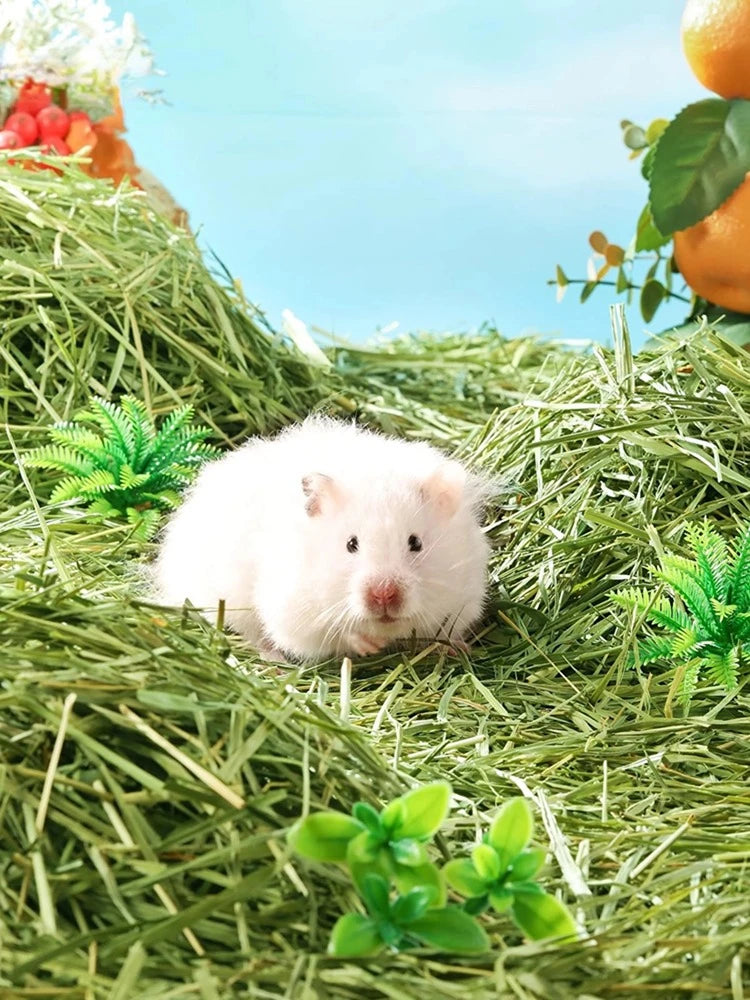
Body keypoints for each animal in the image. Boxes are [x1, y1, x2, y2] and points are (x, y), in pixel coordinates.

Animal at [153, 417, 491, 662]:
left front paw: (455, 647)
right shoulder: (294, 609)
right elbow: (333, 630)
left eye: (416, 543)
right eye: (351, 544)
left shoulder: (464, 597)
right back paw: (276, 661)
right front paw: (369, 646)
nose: (383, 595)